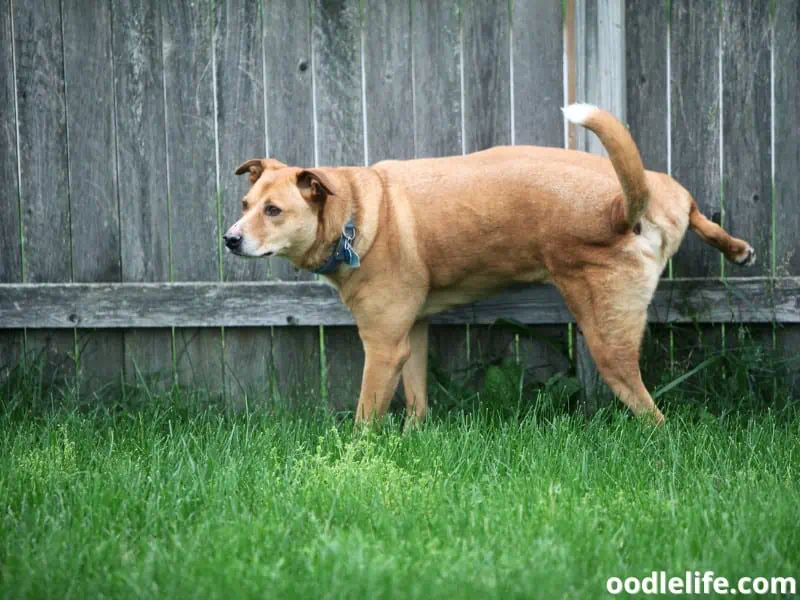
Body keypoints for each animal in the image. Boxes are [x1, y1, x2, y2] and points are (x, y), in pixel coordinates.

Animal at [222, 106, 752, 426]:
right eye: (245, 204)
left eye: (273, 211)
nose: (229, 239)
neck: (357, 210)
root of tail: (625, 205)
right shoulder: (410, 334)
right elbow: (416, 398)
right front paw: (416, 436)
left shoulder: (382, 345)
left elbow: (365, 417)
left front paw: (356, 461)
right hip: (668, 192)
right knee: (696, 212)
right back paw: (735, 247)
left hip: (607, 337)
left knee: (652, 413)